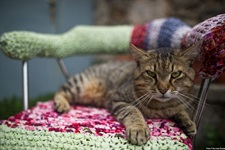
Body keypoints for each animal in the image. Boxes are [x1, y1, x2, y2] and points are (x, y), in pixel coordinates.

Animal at [54, 43, 200, 145]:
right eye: (151, 74)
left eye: (175, 74)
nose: (163, 89)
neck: (160, 107)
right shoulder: (118, 100)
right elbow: (133, 111)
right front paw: (139, 129)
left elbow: (179, 110)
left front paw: (187, 122)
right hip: (80, 85)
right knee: (60, 91)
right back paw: (61, 104)